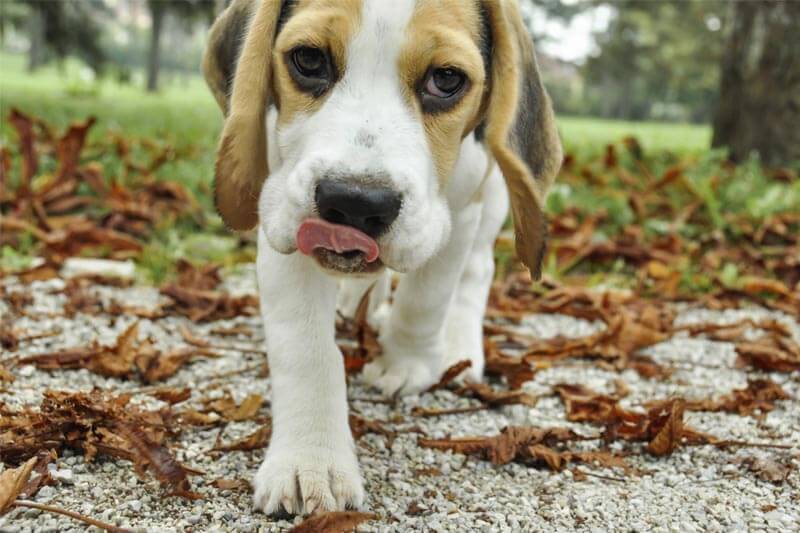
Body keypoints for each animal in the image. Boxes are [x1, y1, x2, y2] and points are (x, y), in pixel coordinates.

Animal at [203, 0, 560, 516]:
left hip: (491, 196)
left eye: (446, 79)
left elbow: (425, 299)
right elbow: (305, 349)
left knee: (476, 272)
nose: (354, 203)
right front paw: (309, 460)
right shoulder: (284, 215)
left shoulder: (455, 214)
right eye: (308, 59)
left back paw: (458, 348)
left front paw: (405, 363)